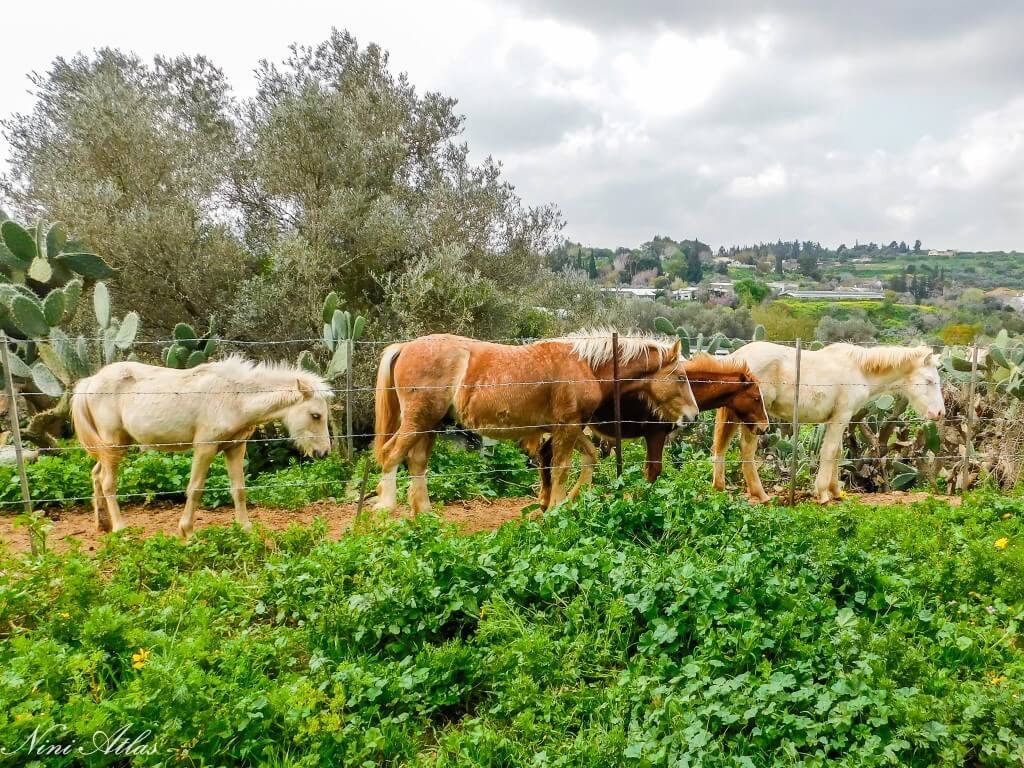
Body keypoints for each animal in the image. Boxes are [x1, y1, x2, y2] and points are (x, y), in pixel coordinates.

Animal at [72, 358, 331, 536]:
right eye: (316, 415)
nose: (324, 452)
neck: (234, 397)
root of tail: (91, 381)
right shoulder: (204, 447)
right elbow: (195, 489)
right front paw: (186, 531)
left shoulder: (235, 448)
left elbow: (239, 489)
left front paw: (246, 529)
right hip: (113, 442)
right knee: (108, 482)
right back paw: (120, 529)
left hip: (115, 446)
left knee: (96, 475)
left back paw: (103, 524)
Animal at [372, 331, 700, 518]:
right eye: (680, 377)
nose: (693, 415)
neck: (585, 365)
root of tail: (405, 347)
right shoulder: (568, 427)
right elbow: (561, 468)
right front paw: (556, 507)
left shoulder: (569, 427)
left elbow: (588, 458)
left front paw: (570, 499)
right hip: (419, 420)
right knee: (392, 455)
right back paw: (386, 507)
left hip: (431, 424)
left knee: (416, 462)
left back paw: (425, 513)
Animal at [536, 354, 770, 499]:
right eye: (757, 398)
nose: (765, 428)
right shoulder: (655, 435)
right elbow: (653, 471)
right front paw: (642, 500)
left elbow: (650, 470)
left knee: (545, 453)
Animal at [712, 342, 942, 505]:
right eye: (929, 381)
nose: (940, 413)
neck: (859, 370)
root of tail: (737, 357)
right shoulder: (841, 416)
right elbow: (830, 451)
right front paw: (822, 493)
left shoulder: (842, 419)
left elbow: (838, 452)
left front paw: (836, 492)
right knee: (747, 450)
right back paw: (761, 495)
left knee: (721, 447)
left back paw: (720, 489)